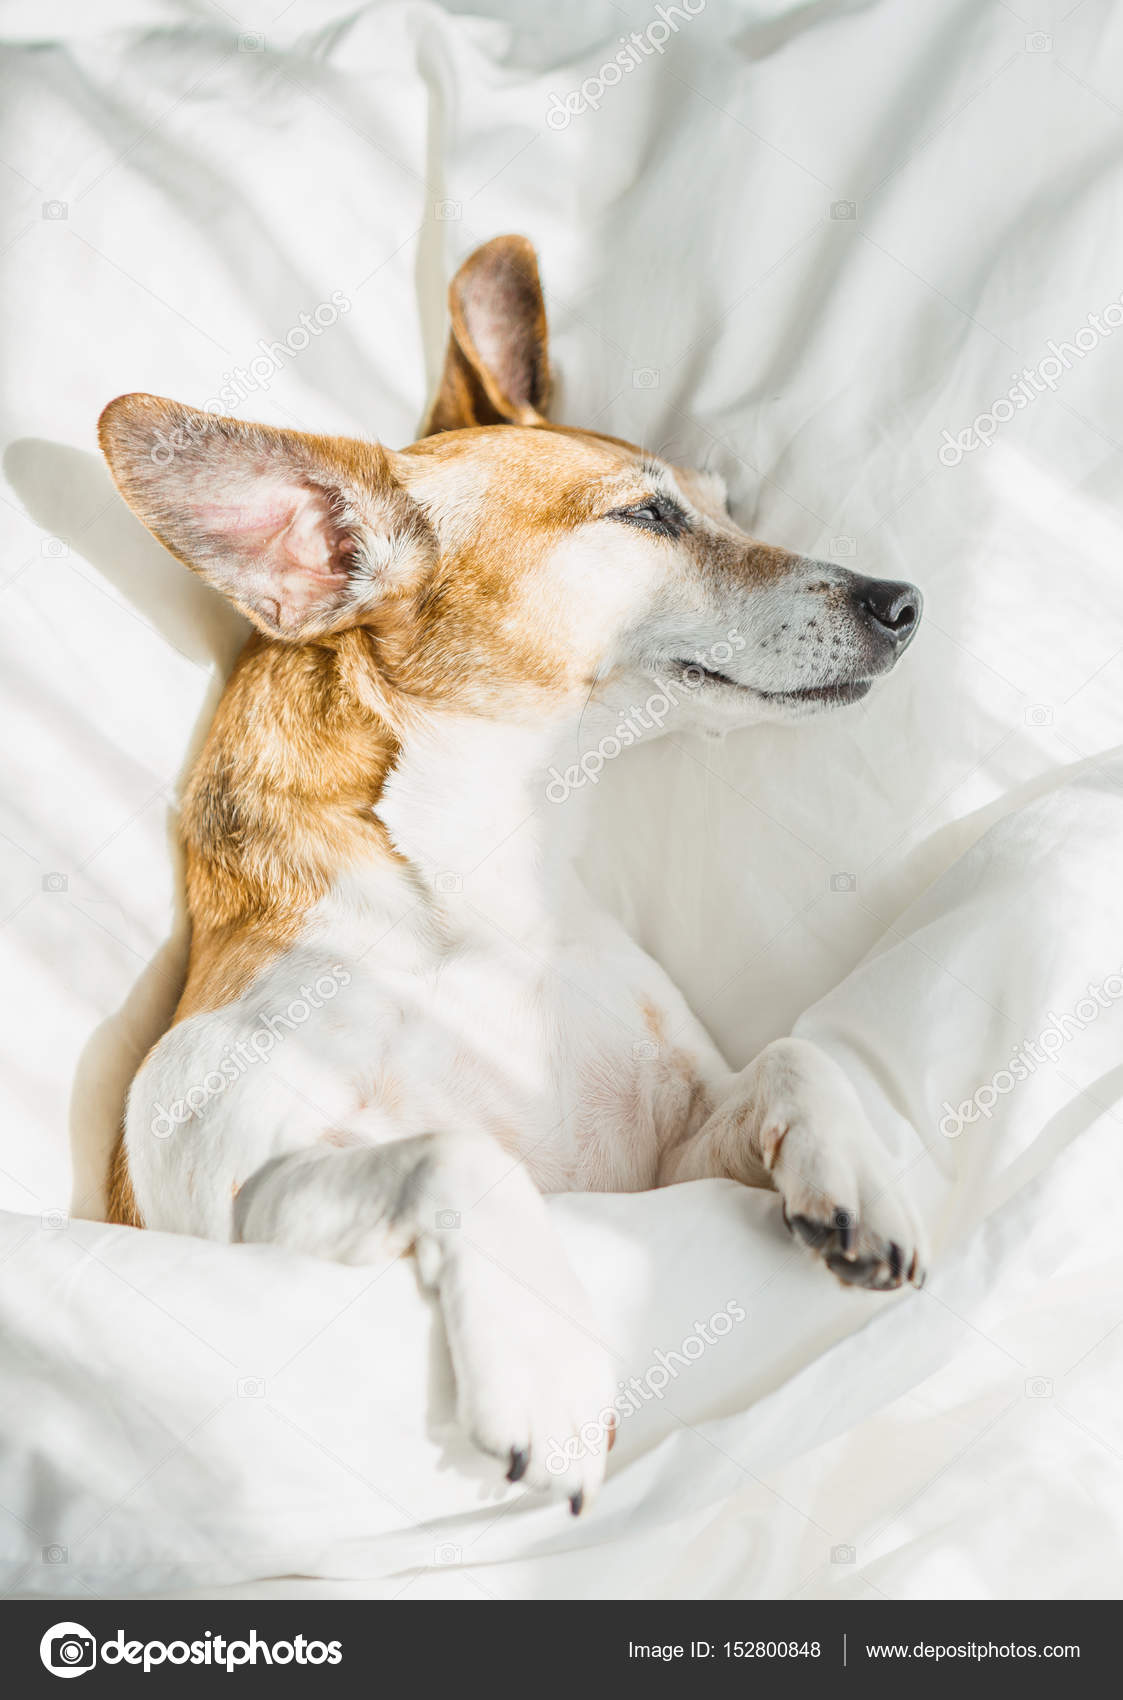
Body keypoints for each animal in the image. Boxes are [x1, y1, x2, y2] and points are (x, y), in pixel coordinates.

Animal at [98, 229, 917, 1516]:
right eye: (648, 514)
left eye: (729, 507)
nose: (904, 600)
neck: (489, 891)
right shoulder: (226, 1195)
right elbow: (460, 1151)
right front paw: (544, 1362)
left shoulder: (672, 1158)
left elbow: (794, 1058)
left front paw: (859, 1169)